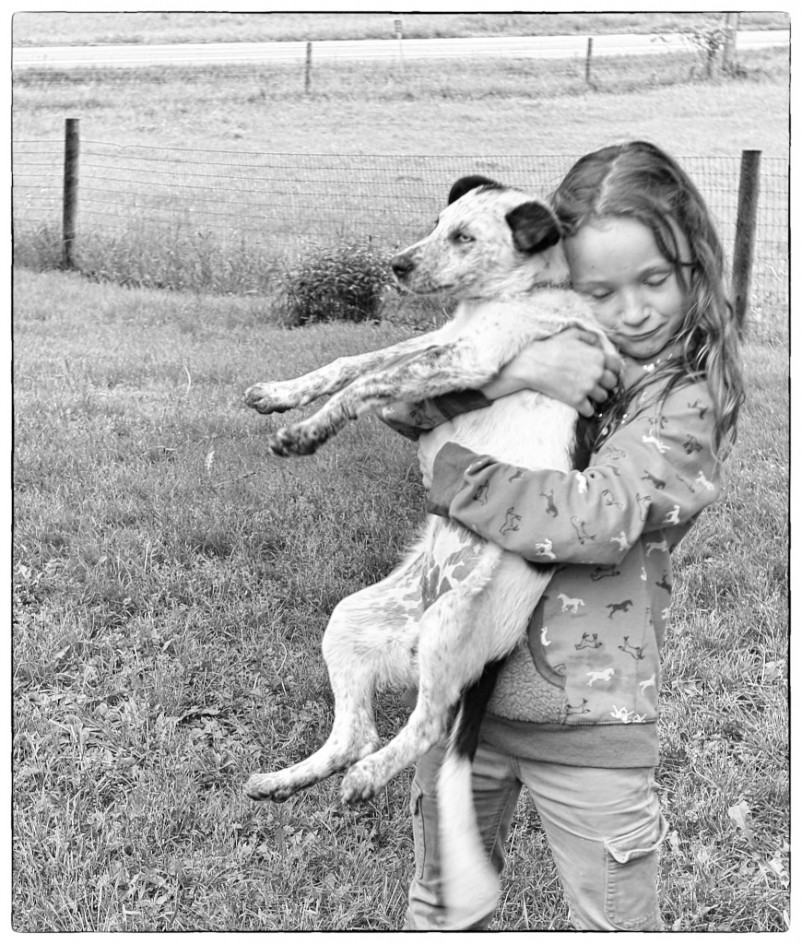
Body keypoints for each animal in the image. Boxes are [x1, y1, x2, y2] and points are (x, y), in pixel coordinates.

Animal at [241, 177, 608, 928]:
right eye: (439, 223)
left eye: (464, 237)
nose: (397, 266)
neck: (509, 297)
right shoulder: (436, 344)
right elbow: (348, 362)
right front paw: (282, 399)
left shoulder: (464, 357)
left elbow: (362, 384)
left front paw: (306, 432)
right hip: (353, 619)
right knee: (356, 732)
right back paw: (287, 781)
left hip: (451, 627)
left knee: (428, 724)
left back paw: (369, 779)